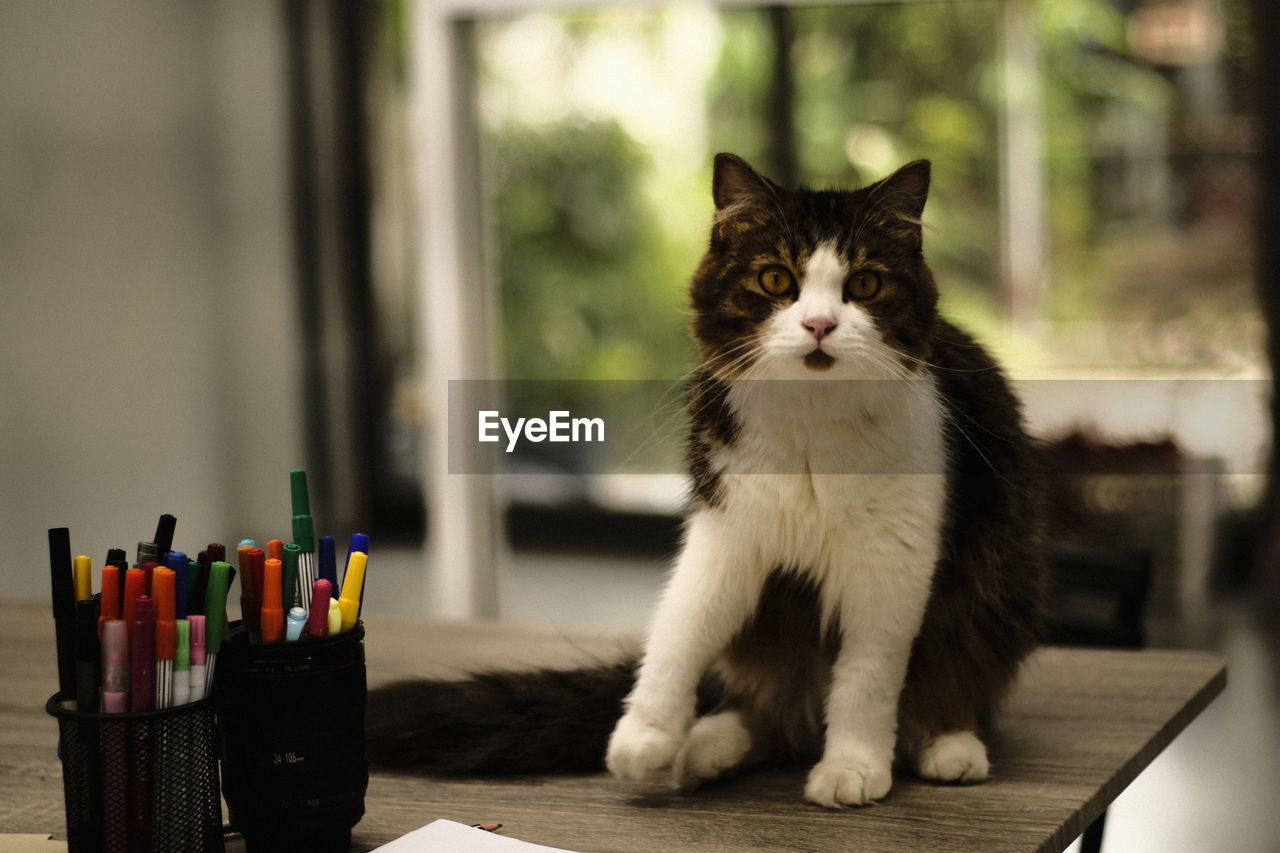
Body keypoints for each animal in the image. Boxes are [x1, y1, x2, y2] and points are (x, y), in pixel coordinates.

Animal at [366, 154, 1044, 804]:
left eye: (865, 284)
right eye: (777, 280)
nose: (820, 325)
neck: (810, 425)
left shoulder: (894, 560)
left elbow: (868, 677)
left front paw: (853, 765)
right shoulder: (728, 530)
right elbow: (681, 624)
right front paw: (643, 734)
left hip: (991, 594)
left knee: (934, 685)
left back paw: (945, 743)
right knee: (766, 713)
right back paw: (705, 747)